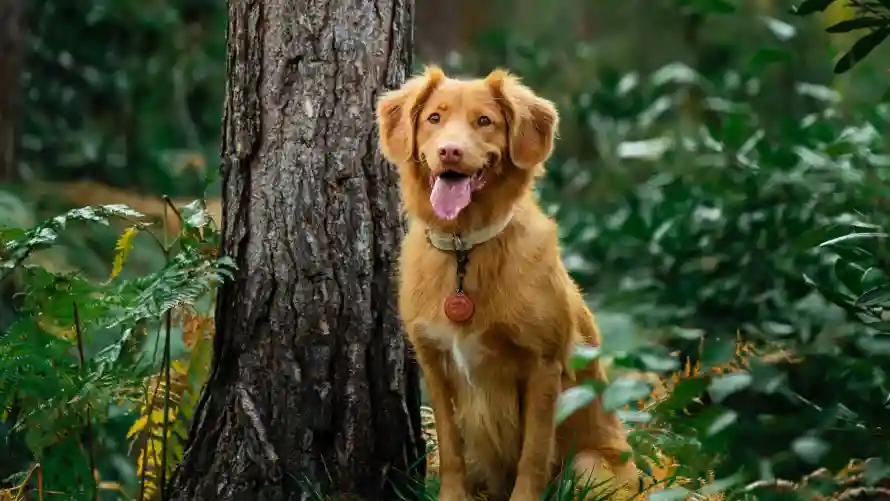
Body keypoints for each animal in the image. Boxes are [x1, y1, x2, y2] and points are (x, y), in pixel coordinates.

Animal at [374, 67, 640, 500]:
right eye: (434, 118)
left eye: (485, 121)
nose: (449, 151)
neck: (465, 247)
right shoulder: (434, 362)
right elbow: (450, 447)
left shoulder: (543, 367)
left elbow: (533, 454)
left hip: (588, 466)